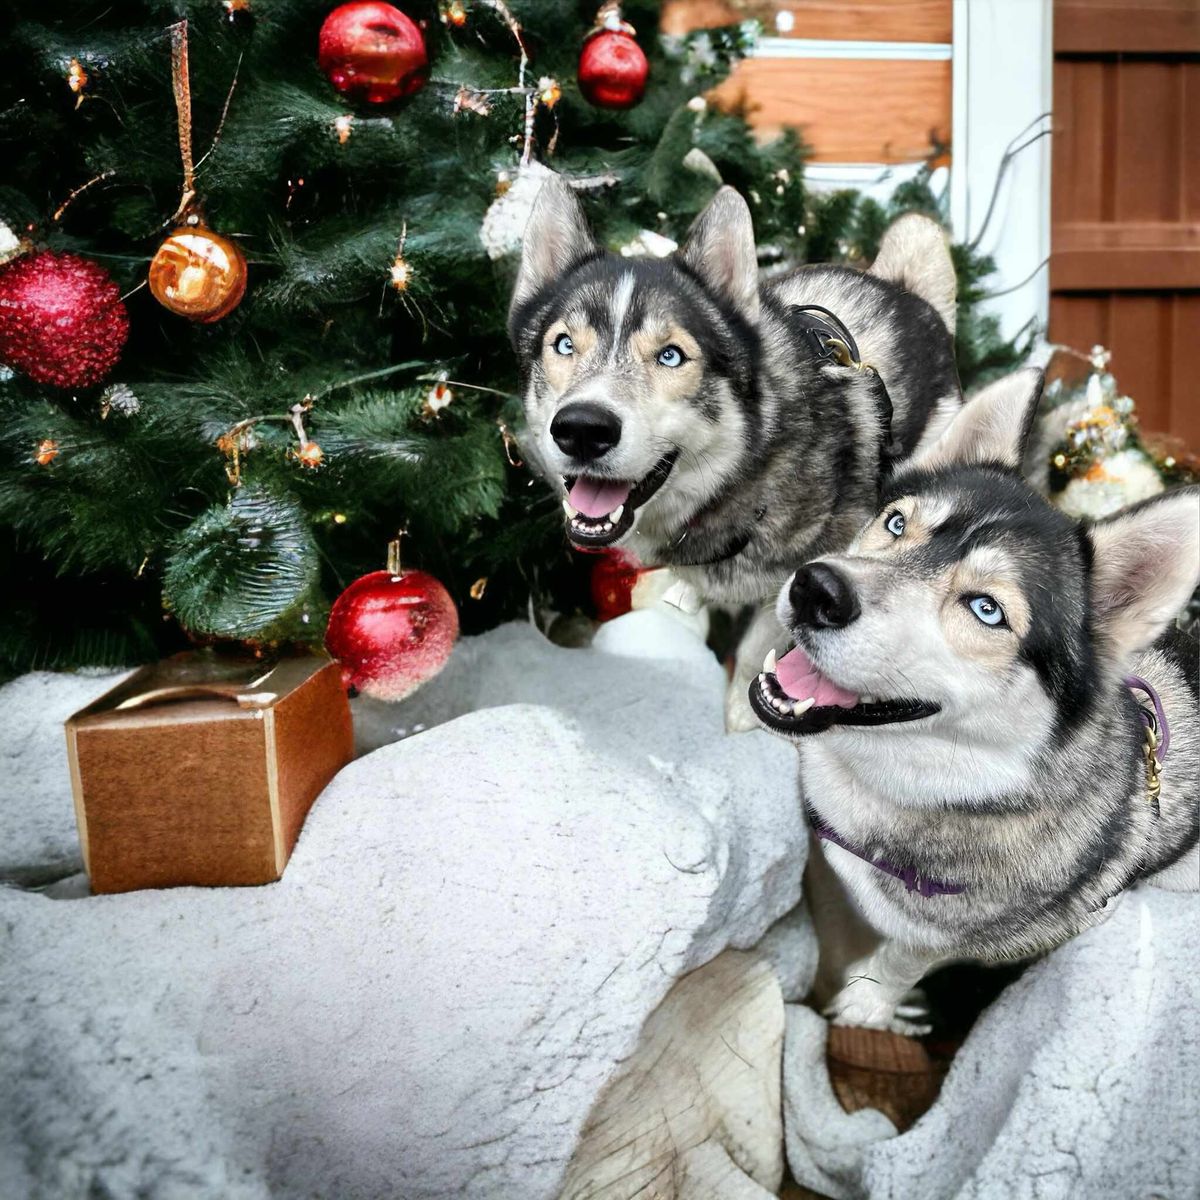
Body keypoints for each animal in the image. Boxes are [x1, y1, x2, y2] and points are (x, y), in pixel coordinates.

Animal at [511, 175, 960, 724]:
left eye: (671, 356)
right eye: (563, 345)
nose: (582, 429)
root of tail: (903, 290)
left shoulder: (804, 572)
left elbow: (759, 645)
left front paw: (744, 715)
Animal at [748, 367, 1200, 1032]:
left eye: (985, 609)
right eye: (896, 523)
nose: (817, 590)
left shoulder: (960, 939)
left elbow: (905, 957)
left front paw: (870, 999)